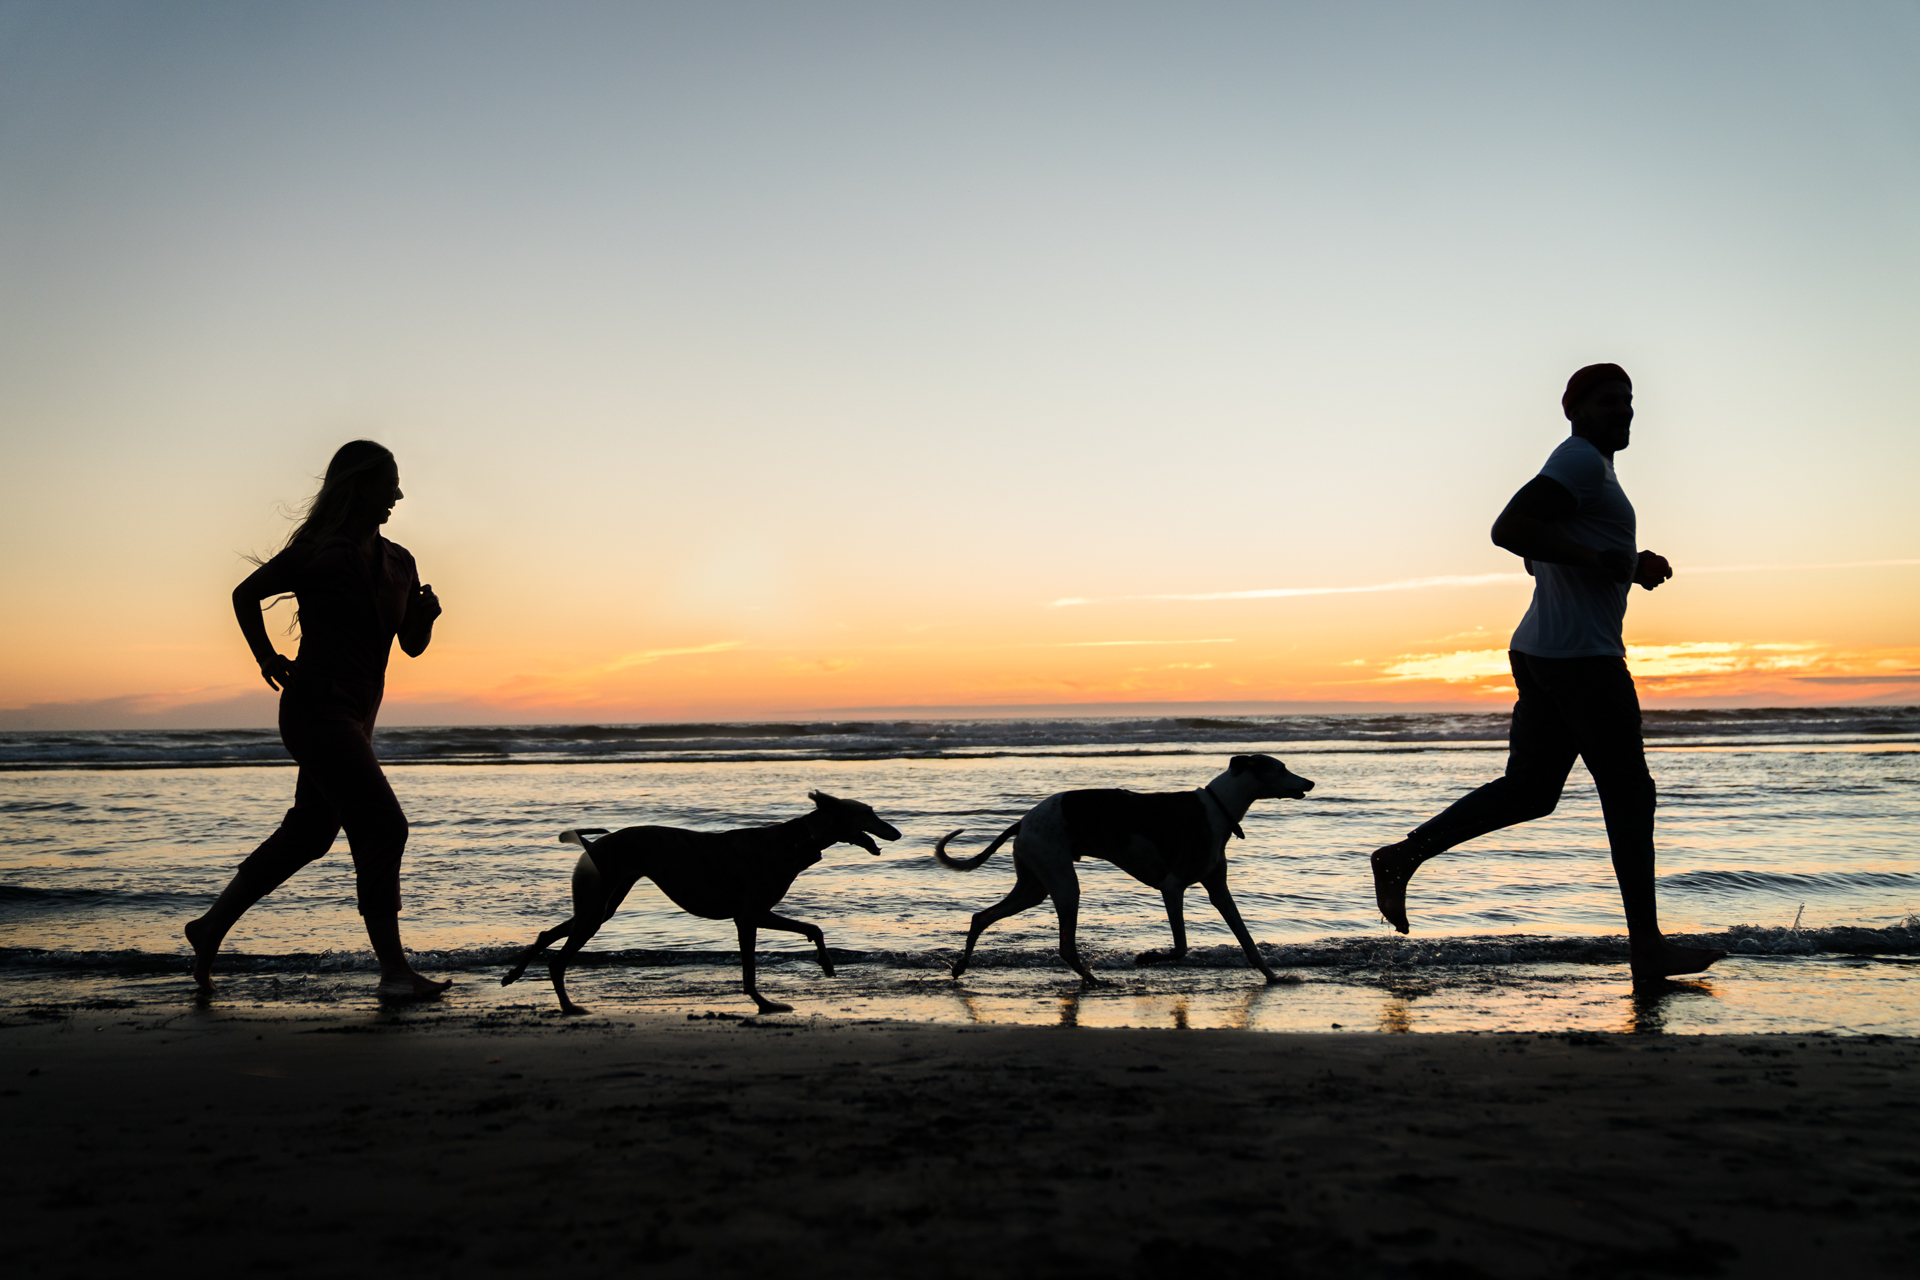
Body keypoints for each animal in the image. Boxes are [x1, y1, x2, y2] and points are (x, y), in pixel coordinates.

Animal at [500, 790, 901, 1014]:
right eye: (868, 812)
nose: (897, 832)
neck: (794, 840)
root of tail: (591, 844)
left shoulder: (754, 914)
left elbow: (813, 929)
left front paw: (826, 965)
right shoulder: (749, 915)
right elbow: (752, 970)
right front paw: (765, 1004)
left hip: (601, 905)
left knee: (546, 934)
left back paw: (513, 974)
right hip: (597, 907)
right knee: (558, 960)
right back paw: (569, 1007)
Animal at [934, 754, 1314, 988]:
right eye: (1281, 767)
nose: (1309, 783)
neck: (1217, 808)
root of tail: (1023, 821)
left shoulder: (1218, 889)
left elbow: (1247, 940)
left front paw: (1273, 977)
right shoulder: (1172, 887)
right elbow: (1181, 946)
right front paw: (1146, 957)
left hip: (1034, 886)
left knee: (981, 917)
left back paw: (962, 966)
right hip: (1063, 883)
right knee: (1065, 945)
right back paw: (1094, 980)